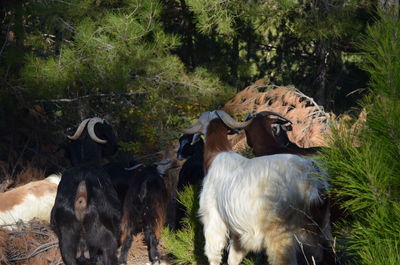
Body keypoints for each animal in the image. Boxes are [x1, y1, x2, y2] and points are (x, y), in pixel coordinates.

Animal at [182, 109, 332, 264]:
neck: (216, 156)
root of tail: (311, 178)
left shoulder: (213, 218)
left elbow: (214, 253)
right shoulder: (239, 232)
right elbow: (233, 258)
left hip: (281, 236)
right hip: (320, 227)